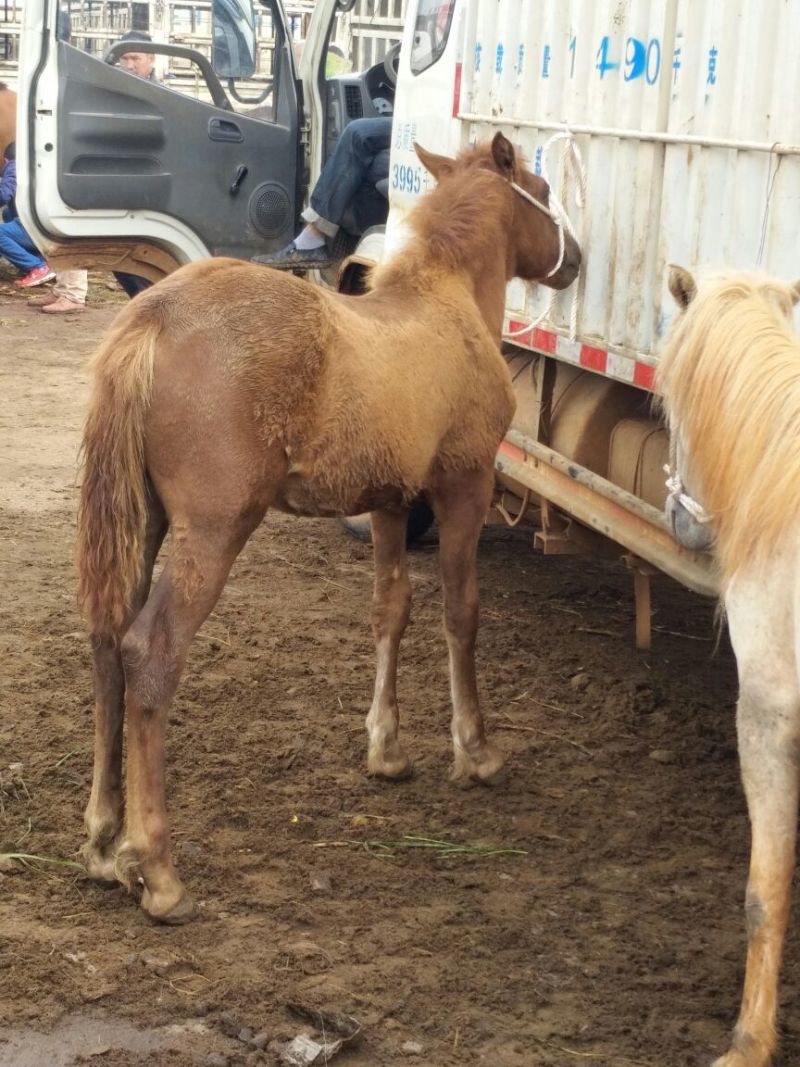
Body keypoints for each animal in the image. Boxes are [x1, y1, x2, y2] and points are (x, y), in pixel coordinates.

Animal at [75, 132, 581, 924]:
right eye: (542, 188)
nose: (576, 259)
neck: (446, 304)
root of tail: (150, 319)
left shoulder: (391, 503)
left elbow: (390, 610)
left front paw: (387, 750)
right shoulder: (465, 487)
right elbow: (460, 612)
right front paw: (476, 751)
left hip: (141, 520)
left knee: (105, 644)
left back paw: (102, 844)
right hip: (212, 531)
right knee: (148, 654)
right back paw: (156, 868)